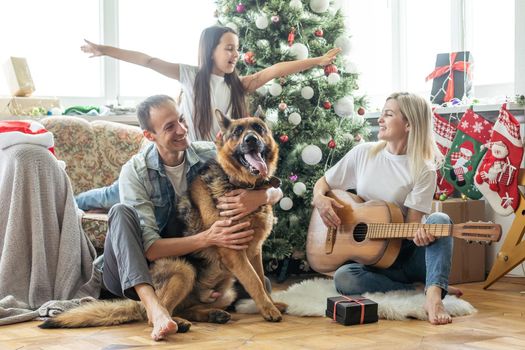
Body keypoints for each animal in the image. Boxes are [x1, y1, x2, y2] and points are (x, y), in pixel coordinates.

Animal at [41, 110, 286, 334]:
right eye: (237, 132)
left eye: (258, 128)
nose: (251, 140)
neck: (241, 184)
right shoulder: (233, 251)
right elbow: (254, 281)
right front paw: (269, 310)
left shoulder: (254, 251)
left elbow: (261, 279)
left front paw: (271, 304)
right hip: (183, 269)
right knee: (154, 314)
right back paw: (171, 323)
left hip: (227, 291)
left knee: (185, 308)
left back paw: (210, 315)